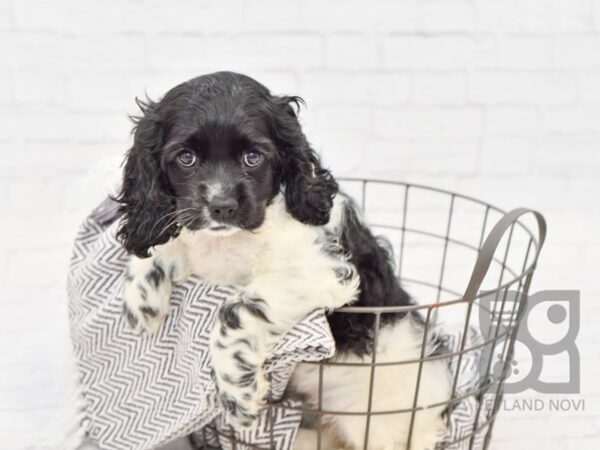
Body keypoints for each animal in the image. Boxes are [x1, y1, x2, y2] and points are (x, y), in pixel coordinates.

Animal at [117, 71, 448, 450]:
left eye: (253, 157)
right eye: (186, 158)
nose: (222, 207)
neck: (236, 240)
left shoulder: (323, 271)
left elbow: (233, 309)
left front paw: (238, 394)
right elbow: (170, 239)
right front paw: (141, 298)